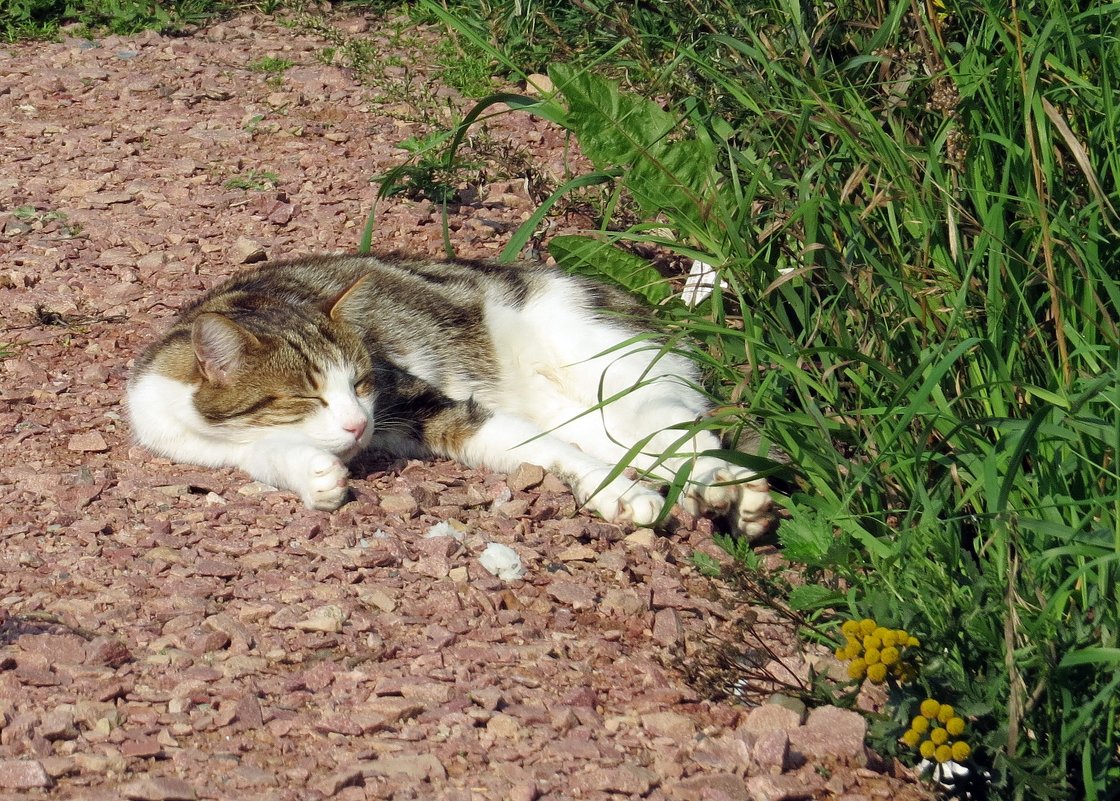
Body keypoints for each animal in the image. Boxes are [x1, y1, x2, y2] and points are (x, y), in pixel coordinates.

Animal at [122, 254, 770, 535]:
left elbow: (550, 450)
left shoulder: (425, 402)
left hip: (612, 371)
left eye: (361, 382)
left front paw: (620, 496)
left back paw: (735, 491)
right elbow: (268, 455)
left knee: (686, 430)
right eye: (307, 398)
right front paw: (314, 475)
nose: (358, 425)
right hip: (593, 415)